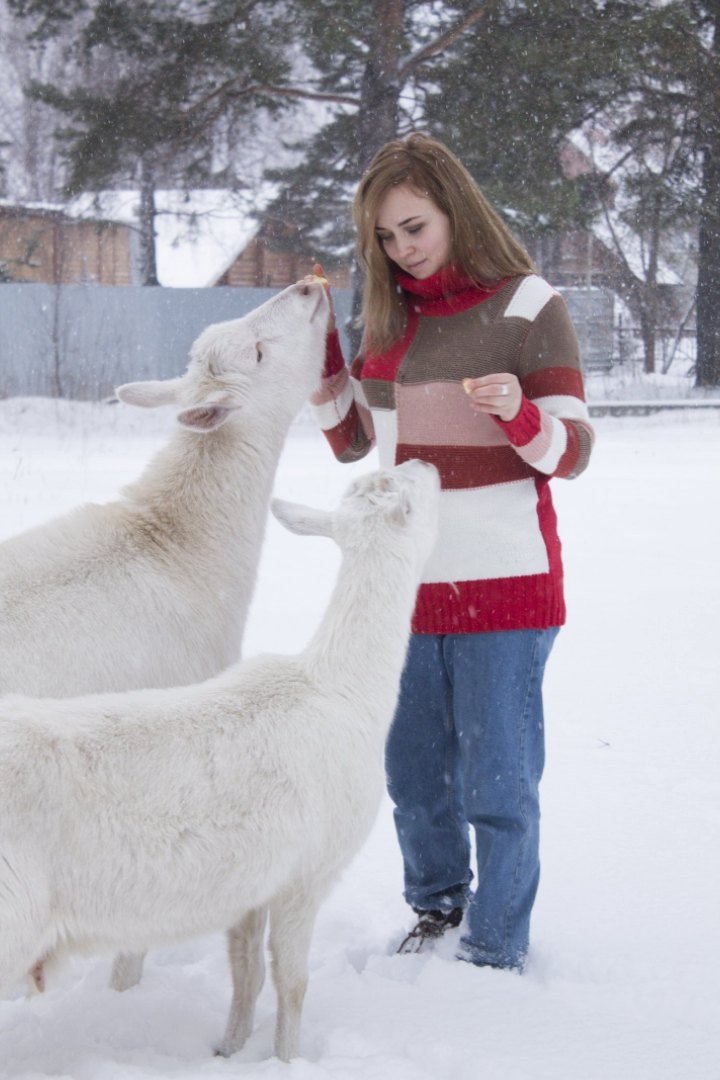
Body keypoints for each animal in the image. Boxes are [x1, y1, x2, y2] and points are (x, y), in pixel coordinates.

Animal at [0, 457, 440, 1062]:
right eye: (409, 497)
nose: (424, 461)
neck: (343, 687)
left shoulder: (251, 885)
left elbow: (246, 973)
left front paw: (229, 1050)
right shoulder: (308, 873)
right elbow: (293, 983)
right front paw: (287, 1059)